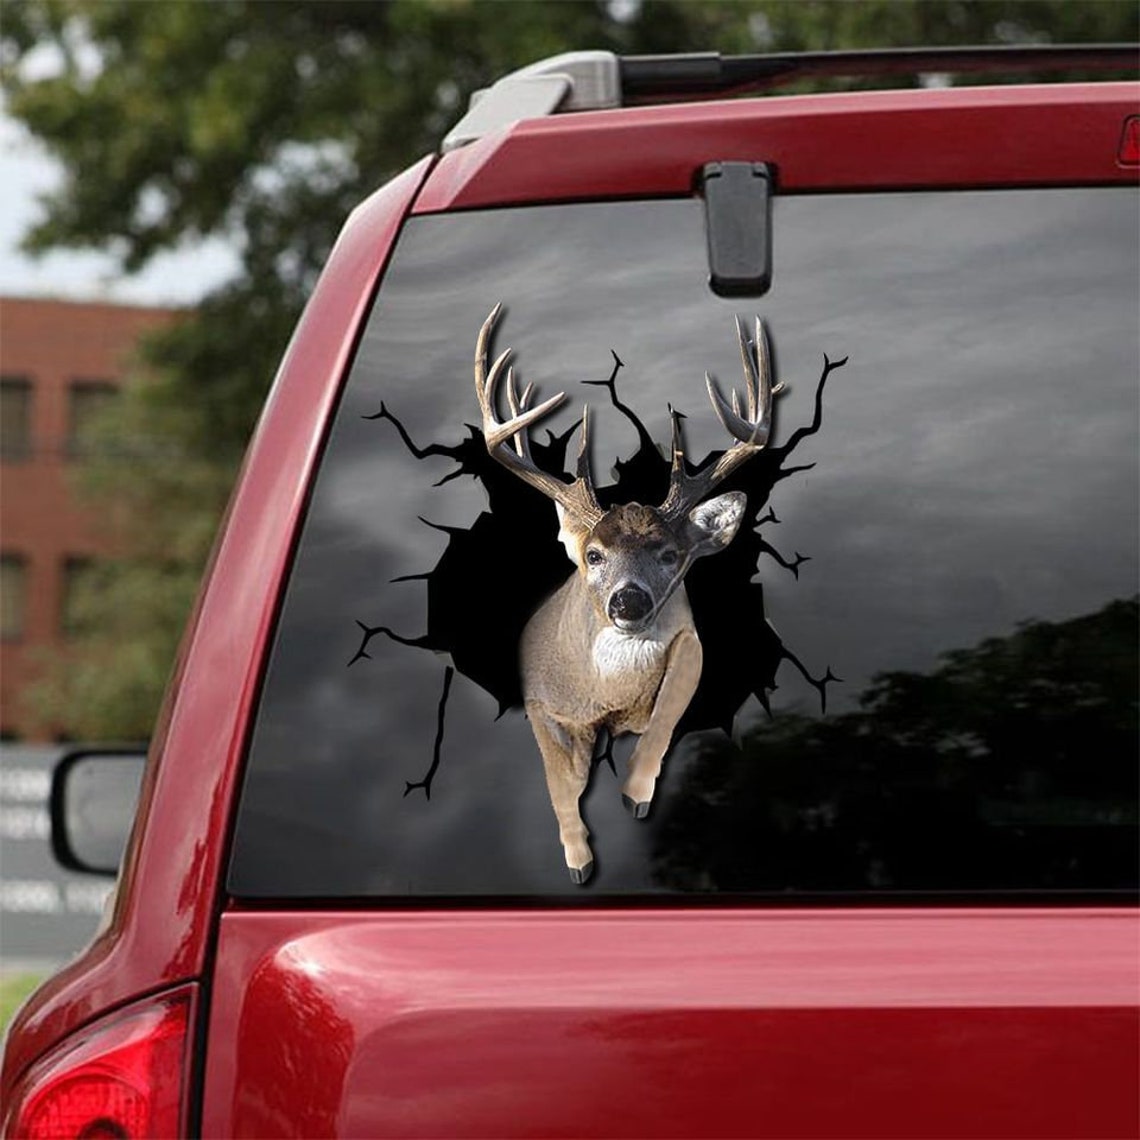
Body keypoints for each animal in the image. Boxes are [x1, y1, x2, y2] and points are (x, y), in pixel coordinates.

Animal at [474, 303, 785, 883]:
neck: (608, 696)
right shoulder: (539, 700)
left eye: (669, 554)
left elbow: (665, 715)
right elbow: (561, 780)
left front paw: (635, 794)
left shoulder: (691, 641)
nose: (629, 602)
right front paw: (578, 858)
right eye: (593, 555)